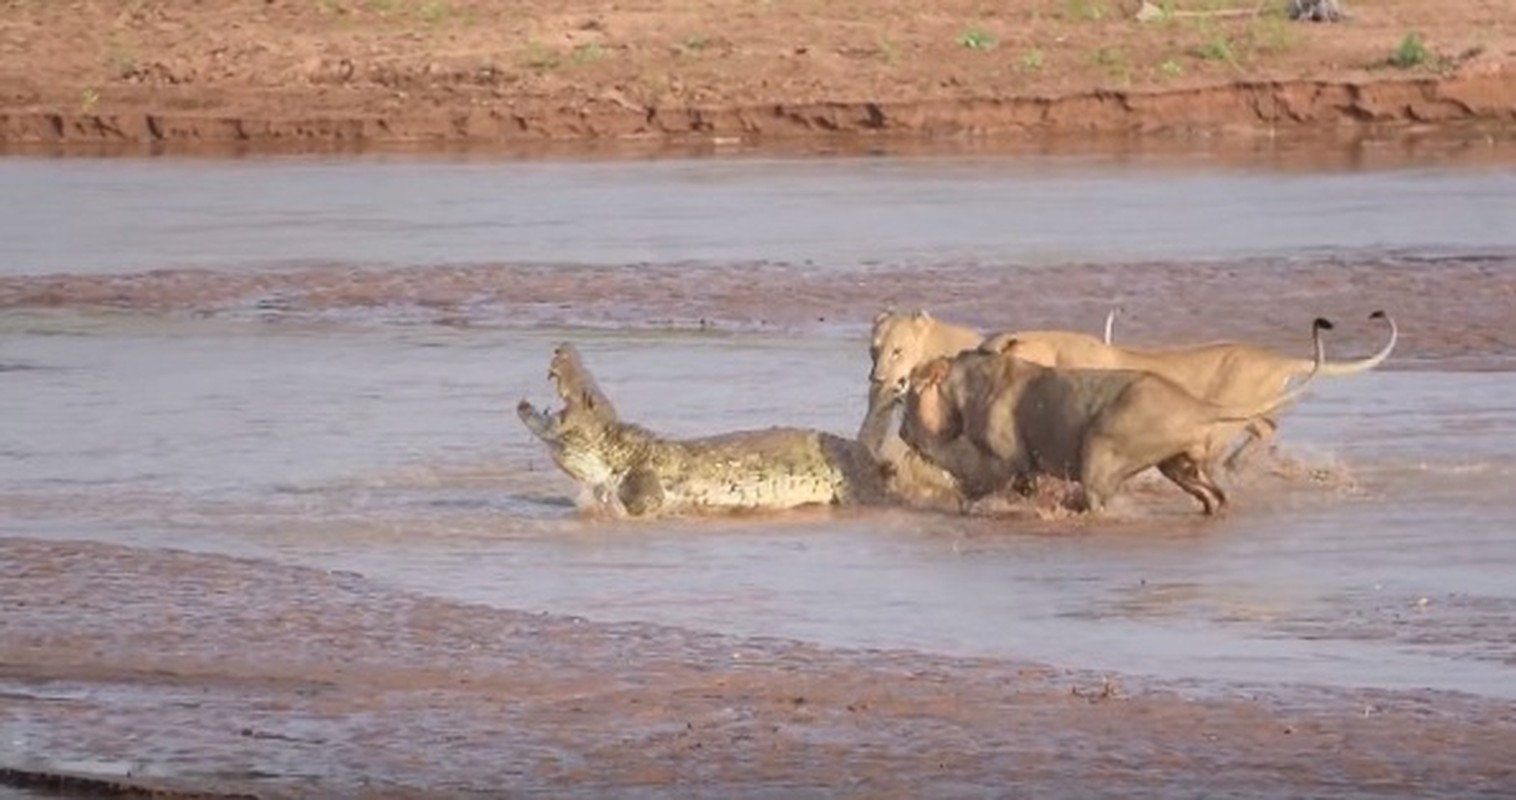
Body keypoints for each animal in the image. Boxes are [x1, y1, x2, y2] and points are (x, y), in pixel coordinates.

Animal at [891, 315, 1334, 515]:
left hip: (1100, 453)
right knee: (1215, 494)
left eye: (907, 397)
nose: (902, 433)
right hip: (1178, 465)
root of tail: (1190, 402)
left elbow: (987, 484)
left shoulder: (1008, 460)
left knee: (1097, 498)